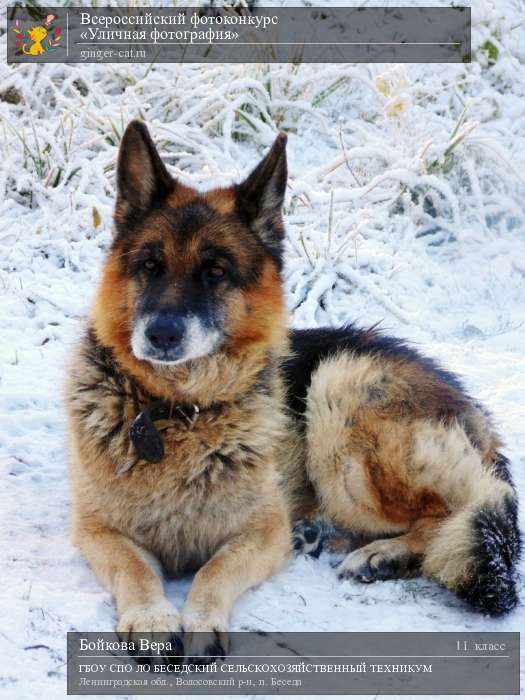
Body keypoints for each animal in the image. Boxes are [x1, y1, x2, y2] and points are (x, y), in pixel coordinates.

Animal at [66, 121, 520, 660]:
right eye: (150, 266)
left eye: (216, 272)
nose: (161, 335)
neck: (178, 409)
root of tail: (476, 412)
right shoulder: (99, 530)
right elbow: (134, 569)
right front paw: (153, 617)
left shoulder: (261, 533)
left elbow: (214, 571)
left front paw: (201, 621)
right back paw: (324, 536)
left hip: (339, 394)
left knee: (452, 512)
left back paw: (380, 554)